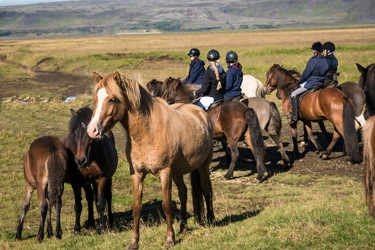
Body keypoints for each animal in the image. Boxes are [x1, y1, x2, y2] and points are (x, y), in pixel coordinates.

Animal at [86, 71, 214, 249]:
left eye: (112, 99)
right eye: (95, 99)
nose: (92, 130)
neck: (148, 132)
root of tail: (201, 113)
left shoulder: (165, 173)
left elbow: (166, 205)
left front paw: (169, 239)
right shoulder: (137, 174)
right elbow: (137, 207)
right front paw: (134, 241)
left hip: (202, 165)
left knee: (206, 188)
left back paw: (210, 220)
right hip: (178, 172)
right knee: (183, 193)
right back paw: (182, 228)